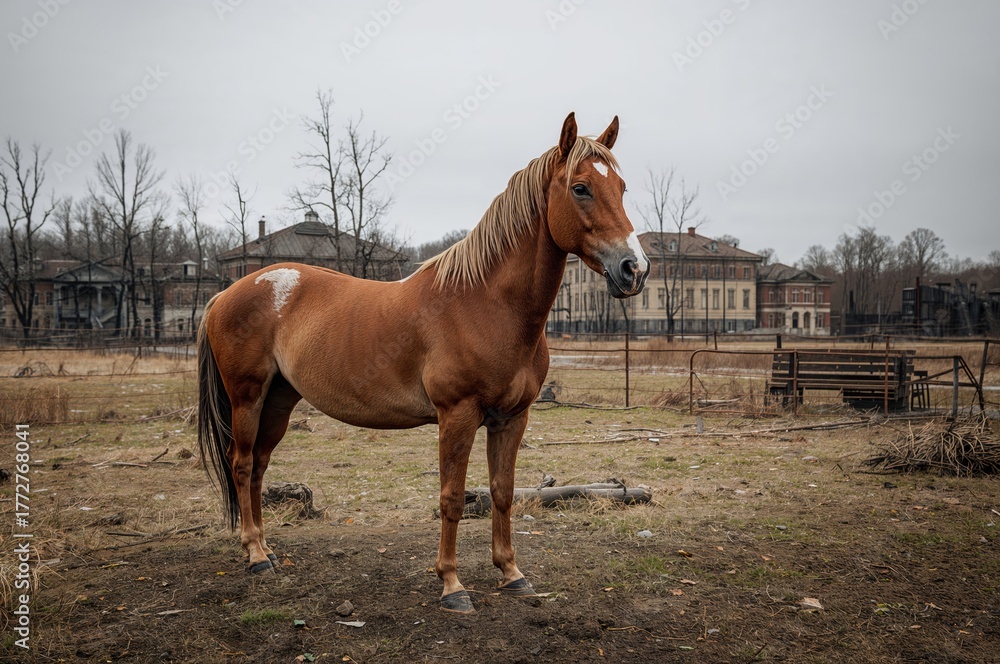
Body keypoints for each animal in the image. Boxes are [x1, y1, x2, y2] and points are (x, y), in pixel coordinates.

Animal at [197, 112, 649, 614]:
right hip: (247, 397)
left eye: (621, 187)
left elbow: (503, 492)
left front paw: (511, 573)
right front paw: (452, 585)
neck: (485, 303)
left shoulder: (512, 417)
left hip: (279, 400)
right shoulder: (457, 415)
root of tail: (227, 293)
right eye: (581, 188)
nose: (634, 269)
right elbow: (452, 498)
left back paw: (267, 550)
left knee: (258, 466)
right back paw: (255, 557)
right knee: (241, 466)